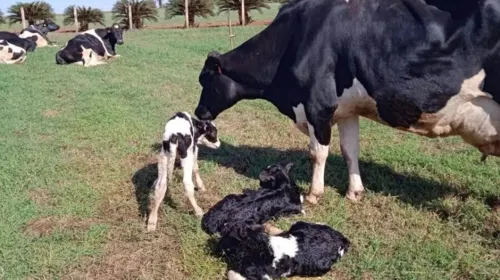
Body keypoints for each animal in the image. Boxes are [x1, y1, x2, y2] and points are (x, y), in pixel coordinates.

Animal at [194, 0, 500, 206]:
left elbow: (318, 153)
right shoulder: (346, 110)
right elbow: (349, 150)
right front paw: (355, 192)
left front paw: (314, 194)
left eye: (205, 80)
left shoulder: (317, 106)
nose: (198, 112)